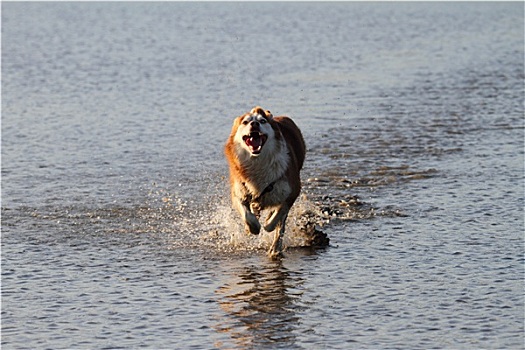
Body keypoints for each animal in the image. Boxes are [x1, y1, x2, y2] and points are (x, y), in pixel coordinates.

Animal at [223, 106, 304, 258]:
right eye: (245, 122)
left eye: (262, 121)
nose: (254, 124)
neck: (257, 162)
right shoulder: (238, 192)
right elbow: (247, 214)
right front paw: (253, 227)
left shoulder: (292, 190)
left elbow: (278, 215)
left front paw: (267, 224)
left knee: (280, 225)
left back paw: (275, 248)